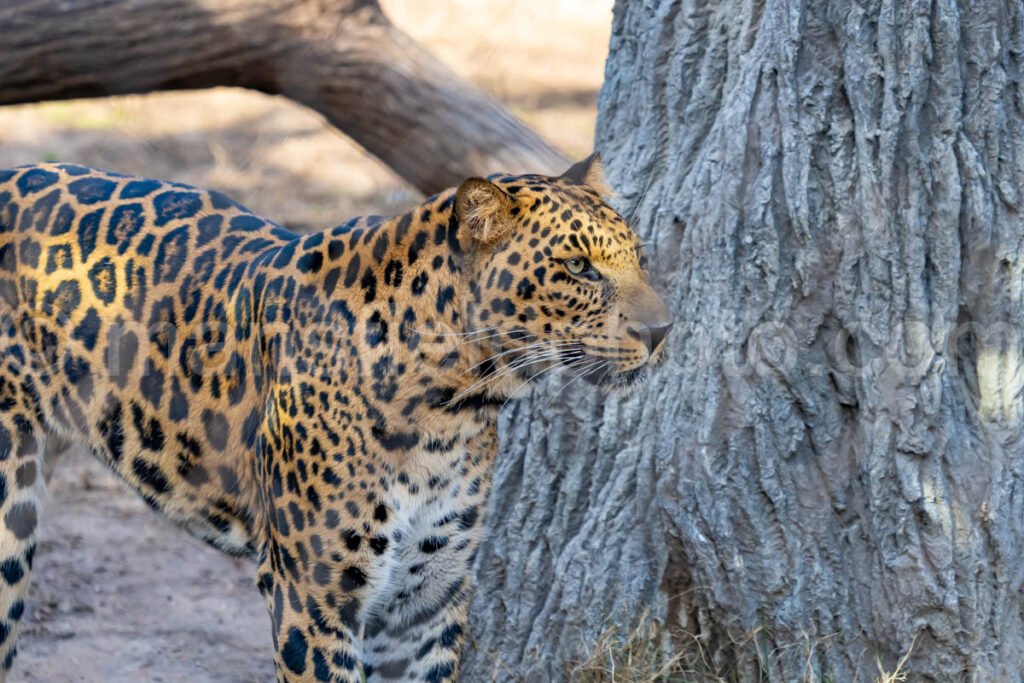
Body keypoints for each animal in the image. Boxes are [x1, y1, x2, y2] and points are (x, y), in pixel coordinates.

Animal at [0, 152, 671, 679]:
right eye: (578, 268)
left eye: (639, 258)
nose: (662, 330)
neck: (453, 408)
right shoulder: (315, 596)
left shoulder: (429, 600)